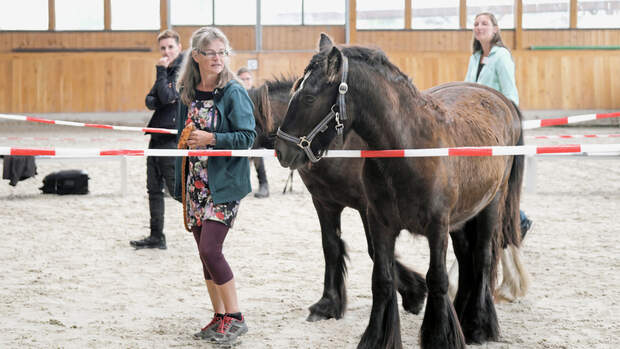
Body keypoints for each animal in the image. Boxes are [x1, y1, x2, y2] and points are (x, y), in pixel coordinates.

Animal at [276, 33, 524, 348]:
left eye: (308, 97)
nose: (282, 150)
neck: (408, 149)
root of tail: (501, 100)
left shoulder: (437, 227)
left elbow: (437, 279)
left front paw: (439, 337)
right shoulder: (380, 222)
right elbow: (381, 279)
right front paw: (378, 337)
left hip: (491, 205)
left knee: (482, 257)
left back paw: (478, 326)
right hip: (462, 218)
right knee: (467, 257)